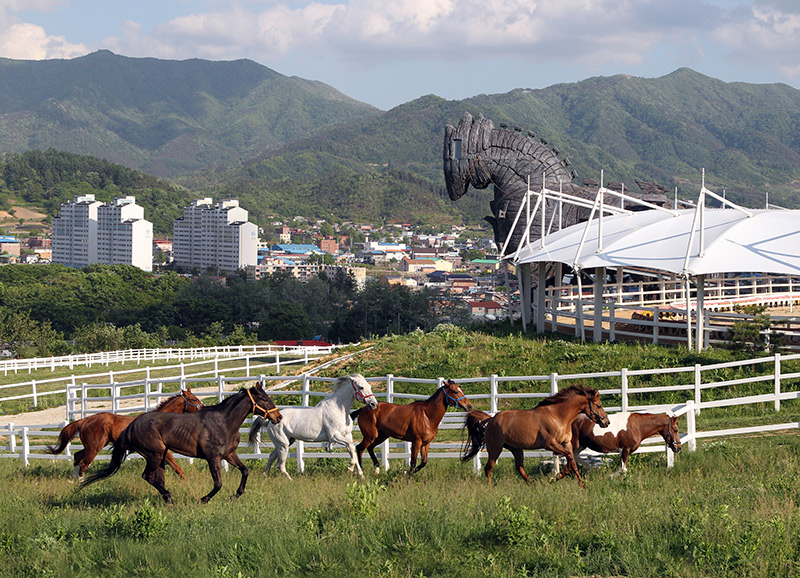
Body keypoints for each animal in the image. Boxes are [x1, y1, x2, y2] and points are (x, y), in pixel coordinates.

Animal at [47, 388, 205, 476]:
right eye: (193, 399)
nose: (203, 408)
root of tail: (85, 420)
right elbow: (177, 467)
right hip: (94, 447)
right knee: (84, 464)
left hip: (93, 446)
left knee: (77, 457)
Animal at [81, 382, 282, 500]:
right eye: (263, 398)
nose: (278, 417)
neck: (223, 422)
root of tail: (132, 425)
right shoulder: (213, 458)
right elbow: (218, 483)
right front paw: (204, 499)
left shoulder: (229, 454)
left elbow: (245, 470)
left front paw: (236, 494)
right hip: (155, 455)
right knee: (148, 476)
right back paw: (169, 496)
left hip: (160, 456)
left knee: (157, 478)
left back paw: (167, 498)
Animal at [250, 374, 378, 476]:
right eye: (361, 387)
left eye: (369, 386)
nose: (374, 404)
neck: (339, 410)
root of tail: (270, 421)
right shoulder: (334, 436)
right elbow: (351, 447)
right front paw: (350, 468)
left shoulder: (347, 435)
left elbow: (353, 451)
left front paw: (361, 475)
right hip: (283, 445)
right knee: (280, 465)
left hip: (284, 443)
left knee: (271, 458)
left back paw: (265, 476)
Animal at [460, 382, 608, 486]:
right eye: (599, 406)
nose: (606, 422)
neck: (558, 416)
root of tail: (490, 420)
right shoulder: (551, 444)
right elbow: (569, 458)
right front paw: (556, 477)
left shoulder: (566, 443)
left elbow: (573, 462)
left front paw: (582, 485)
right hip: (495, 449)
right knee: (488, 468)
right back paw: (491, 489)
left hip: (516, 449)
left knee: (520, 468)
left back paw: (532, 485)